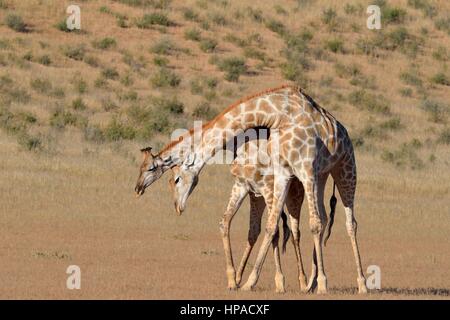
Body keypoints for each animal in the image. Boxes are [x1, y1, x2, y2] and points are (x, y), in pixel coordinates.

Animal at [167, 138, 312, 292]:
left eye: (176, 179)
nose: (178, 207)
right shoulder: (247, 189)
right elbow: (226, 222)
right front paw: (233, 280)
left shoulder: (269, 191)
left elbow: (275, 231)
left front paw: (279, 283)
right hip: (260, 198)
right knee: (256, 231)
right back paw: (239, 278)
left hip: (294, 195)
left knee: (295, 233)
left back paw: (303, 283)